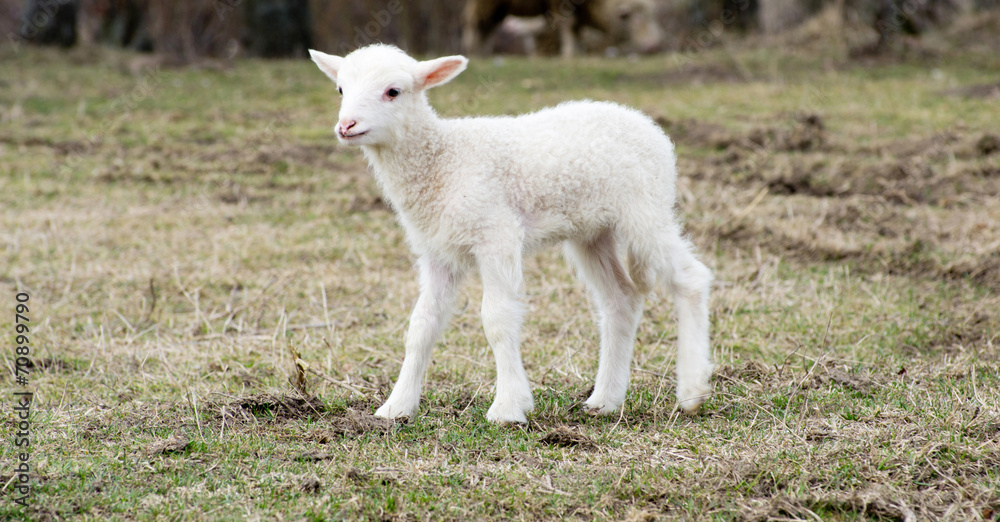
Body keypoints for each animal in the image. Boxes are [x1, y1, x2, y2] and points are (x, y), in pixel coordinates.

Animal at [308, 44, 713, 424]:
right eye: (341, 89)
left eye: (393, 91)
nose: (347, 125)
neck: (443, 161)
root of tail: (647, 125)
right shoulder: (437, 251)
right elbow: (422, 325)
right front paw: (397, 406)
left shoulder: (496, 233)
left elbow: (497, 319)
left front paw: (507, 407)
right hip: (592, 232)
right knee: (621, 300)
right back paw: (604, 400)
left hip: (644, 210)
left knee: (690, 278)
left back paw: (691, 392)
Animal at [462, 0, 662, 58]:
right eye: (628, 16)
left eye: (653, 15)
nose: (653, 46)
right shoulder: (560, 4)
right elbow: (569, 26)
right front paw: (570, 52)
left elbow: (577, 29)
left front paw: (578, 51)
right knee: (476, 24)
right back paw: (474, 51)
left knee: (488, 28)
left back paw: (483, 52)